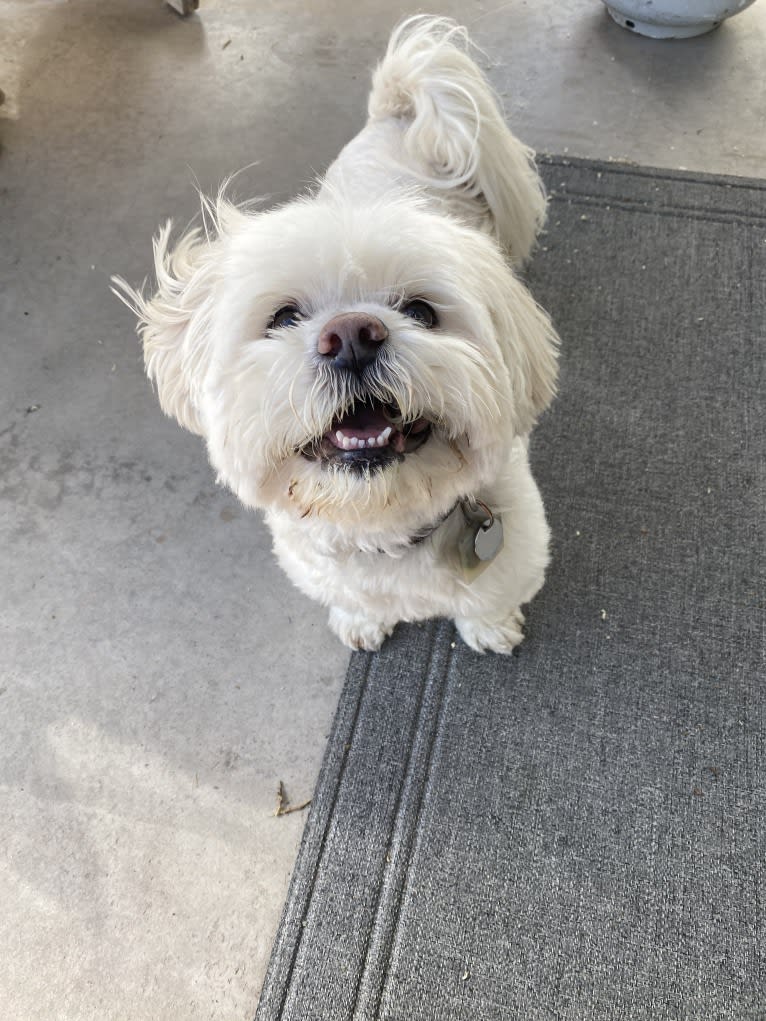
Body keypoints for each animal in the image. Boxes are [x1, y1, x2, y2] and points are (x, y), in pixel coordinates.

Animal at [112, 13, 559, 653]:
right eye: (283, 318)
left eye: (421, 311)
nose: (350, 336)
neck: (382, 520)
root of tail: (398, 113)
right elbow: (354, 600)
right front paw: (361, 622)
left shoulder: (515, 550)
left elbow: (487, 601)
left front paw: (492, 630)